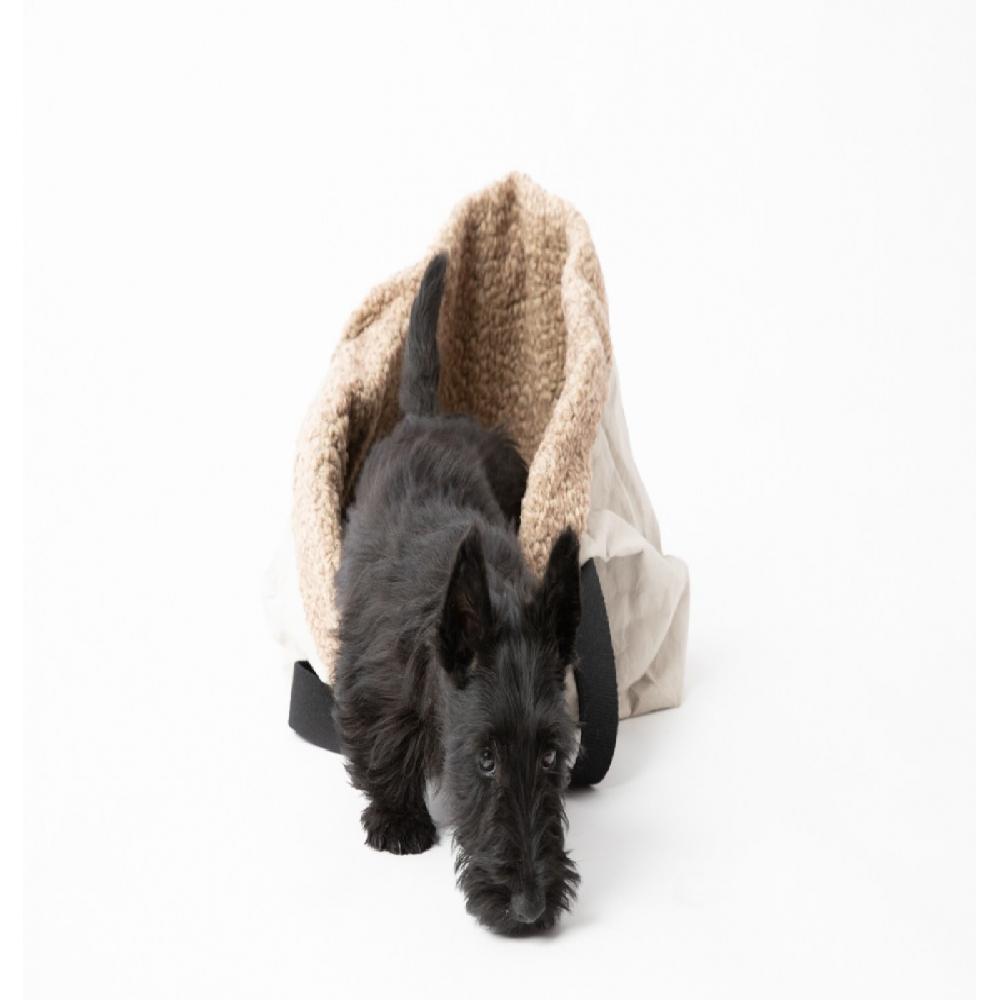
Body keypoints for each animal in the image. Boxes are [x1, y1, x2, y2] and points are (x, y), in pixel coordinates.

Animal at [333, 253, 582, 933]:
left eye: (551, 756)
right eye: (485, 759)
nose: (528, 908)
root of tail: (426, 416)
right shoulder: (374, 679)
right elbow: (380, 741)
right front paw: (398, 821)